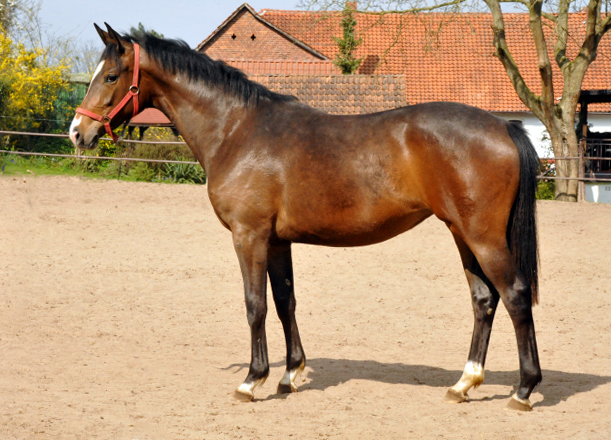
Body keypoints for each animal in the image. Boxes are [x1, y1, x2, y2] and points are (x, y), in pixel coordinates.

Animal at [69, 23, 544, 410]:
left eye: (111, 76)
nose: (77, 132)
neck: (238, 130)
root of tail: (505, 127)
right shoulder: (278, 241)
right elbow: (285, 302)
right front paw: (290, 374)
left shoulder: (249, 236)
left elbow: (255, 305)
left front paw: (252, 380)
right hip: (462, 234)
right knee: (484, 300)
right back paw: (465, 383)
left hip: (483, 237)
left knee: (516, 296)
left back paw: (524, 389)